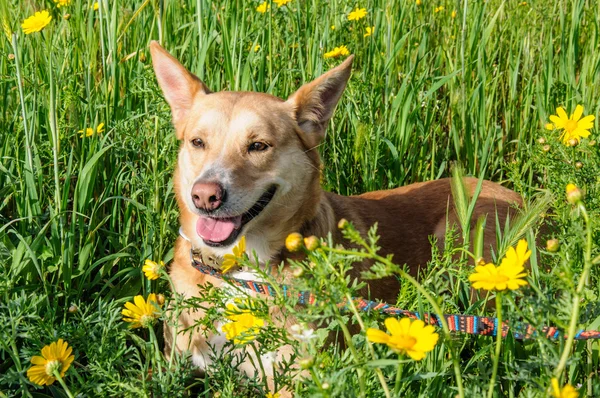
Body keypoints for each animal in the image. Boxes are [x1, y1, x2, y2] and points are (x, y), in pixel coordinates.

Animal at [149, 42, 520, 378]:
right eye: (198, 142)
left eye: (258, 146)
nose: (205, 196)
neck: (238, 269)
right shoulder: (172, 365)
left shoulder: (296, 377)